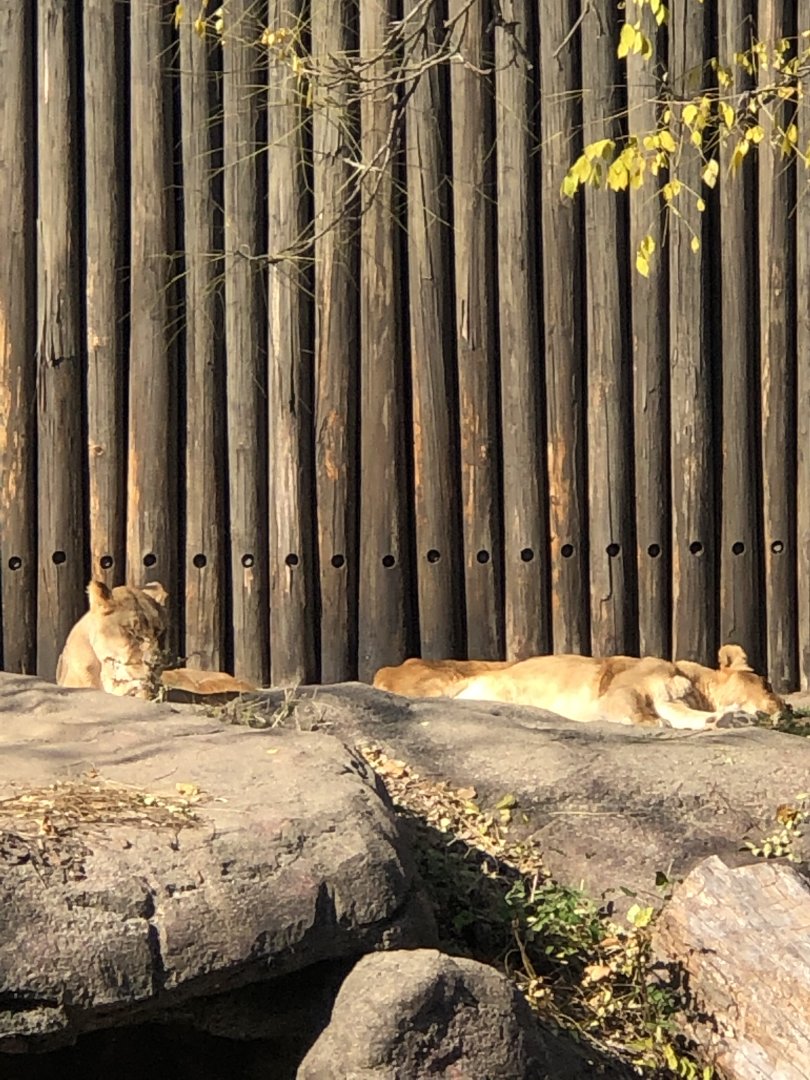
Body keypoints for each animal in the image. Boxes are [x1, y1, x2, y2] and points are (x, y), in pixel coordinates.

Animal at [449, 644, 783, 730]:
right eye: (767, 684)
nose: (784, 707)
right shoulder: (620, 691)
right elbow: (629, 707)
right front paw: (652, 722)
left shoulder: (673, 701)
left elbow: (689, 718)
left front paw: (730, 719)